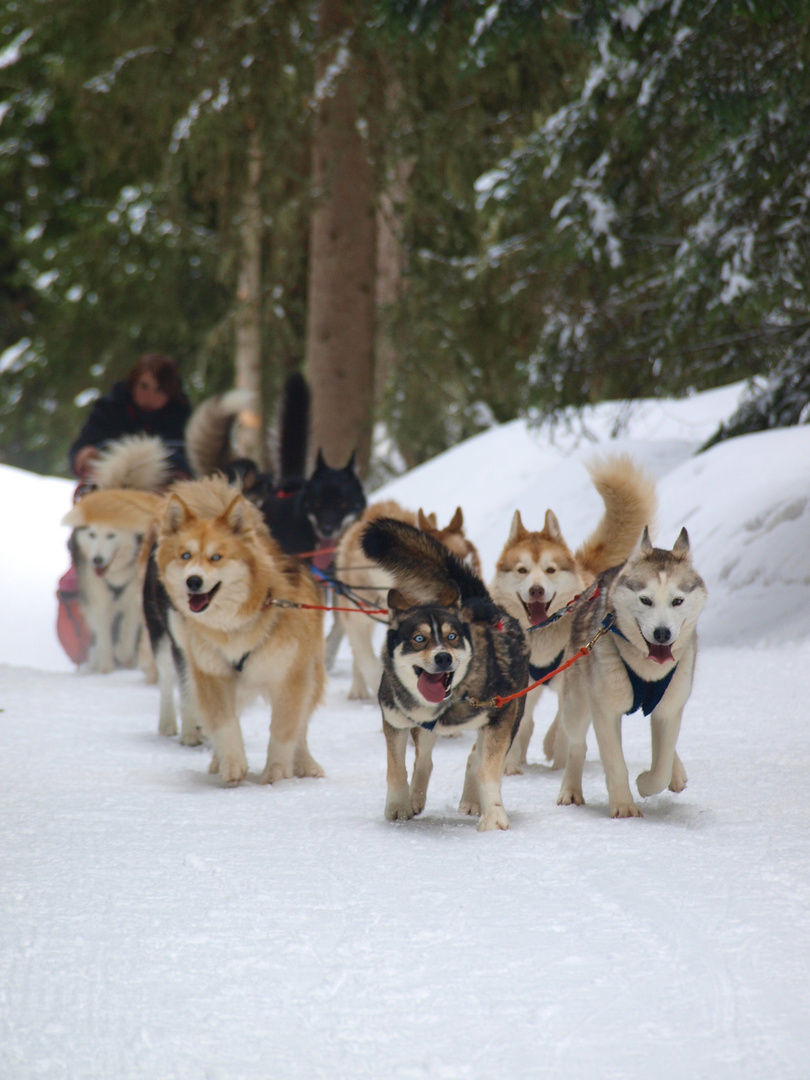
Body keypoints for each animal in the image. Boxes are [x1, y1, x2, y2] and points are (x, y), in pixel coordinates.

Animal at [362, 518, 533, 829]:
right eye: (419, 639)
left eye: (452, 637)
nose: (443, 657)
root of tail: (479, 602)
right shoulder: (394, 720)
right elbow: (396, 768)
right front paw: (398, 805)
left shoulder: (500, 715)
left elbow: (487, 769)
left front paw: (493, 816)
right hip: (425, 729)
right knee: (424, 759)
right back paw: (416, 798)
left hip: (512, 712)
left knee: (475, 758)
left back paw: (472, 800)